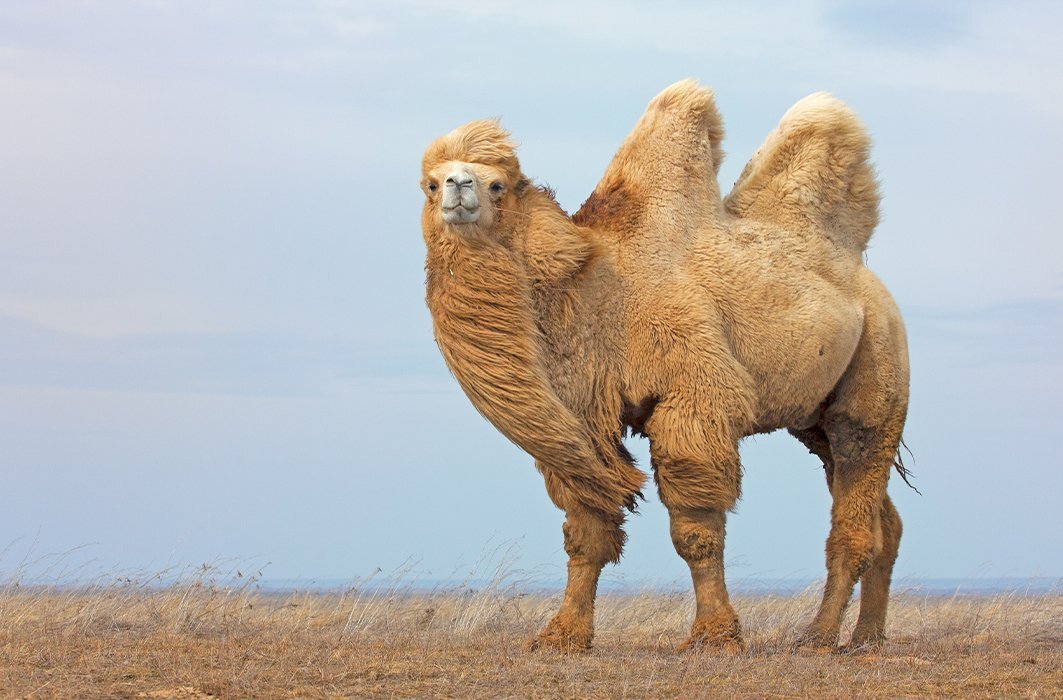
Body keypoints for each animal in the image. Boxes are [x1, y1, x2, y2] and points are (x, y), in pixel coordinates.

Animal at [419, 80, 909, 653]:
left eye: (498, 184)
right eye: (429, 184)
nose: (457, 188)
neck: (595, 291)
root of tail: (866, 278)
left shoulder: (694, 394)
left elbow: (695, 530)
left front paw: (715, 636)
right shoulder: (585, 421)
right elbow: (586, 530)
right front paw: (563, 637)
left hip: (879, 366)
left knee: (855, 503)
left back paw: (818, 637)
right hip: (814, 419)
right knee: (883, 519)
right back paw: (867, 638)